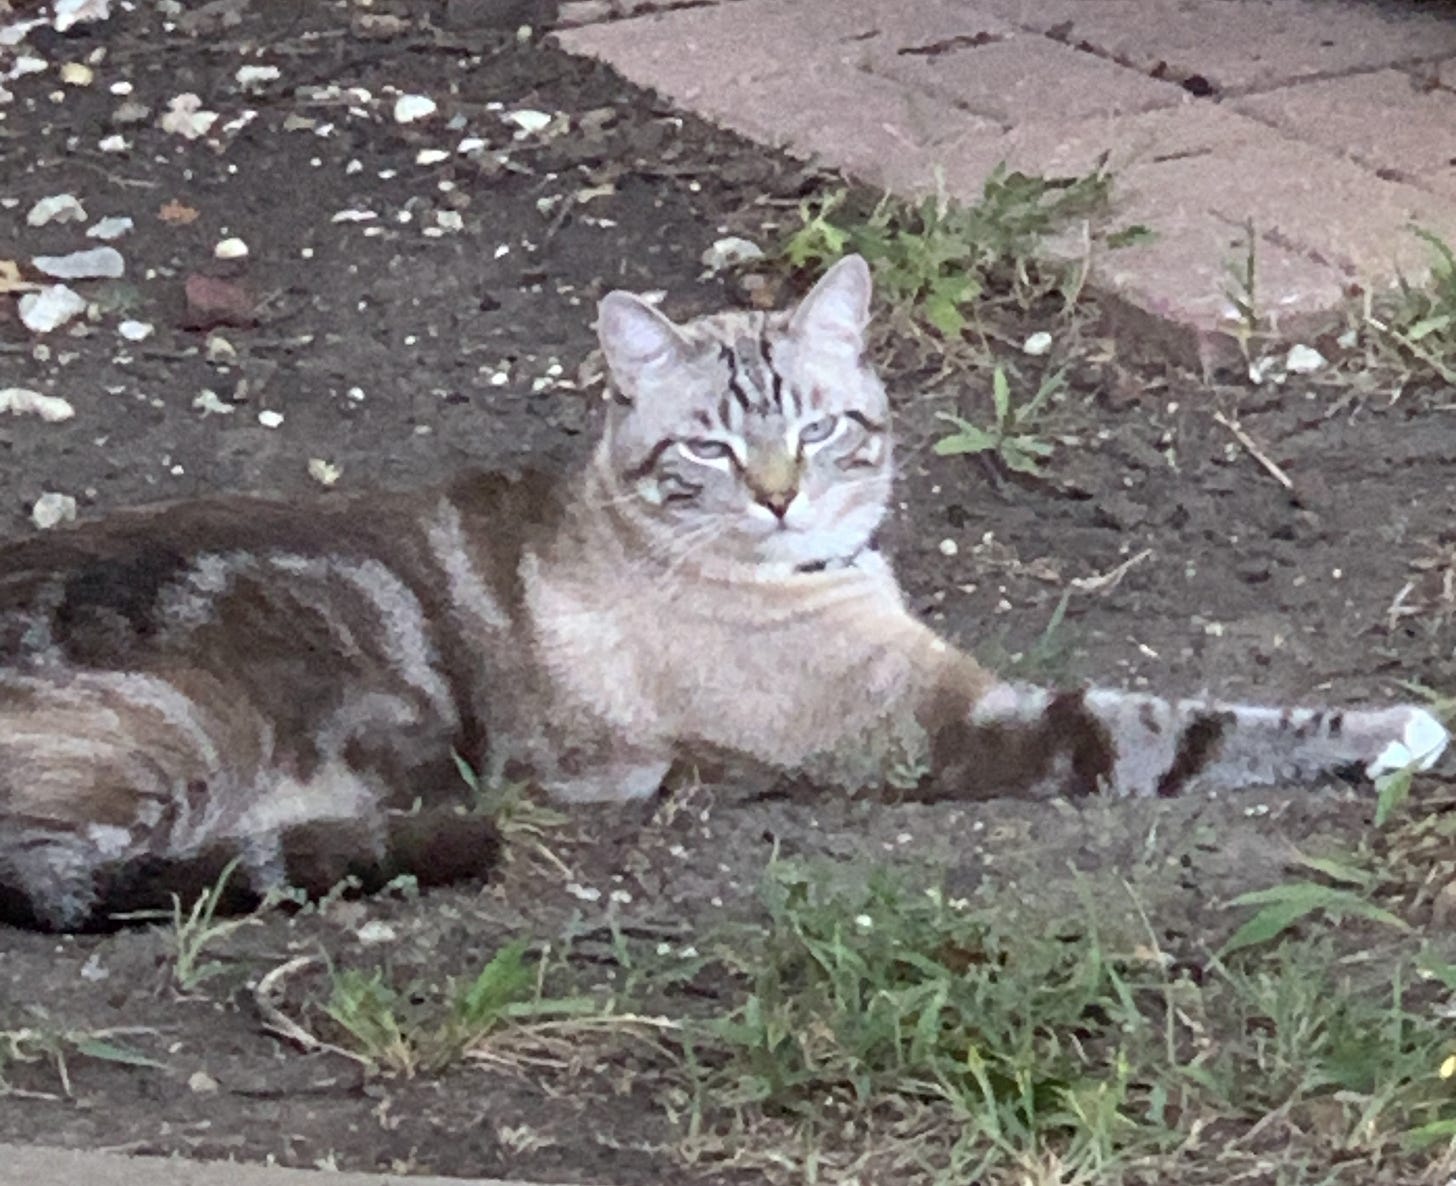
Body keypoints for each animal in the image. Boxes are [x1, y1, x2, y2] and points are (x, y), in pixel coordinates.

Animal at [0, 254, 1444, 931]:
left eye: (817, 428)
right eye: (709, 446)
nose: (780, 497)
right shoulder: (958, 728)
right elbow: (1199, 723)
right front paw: (1406, 727)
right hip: (179, 741)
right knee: (55, 874)